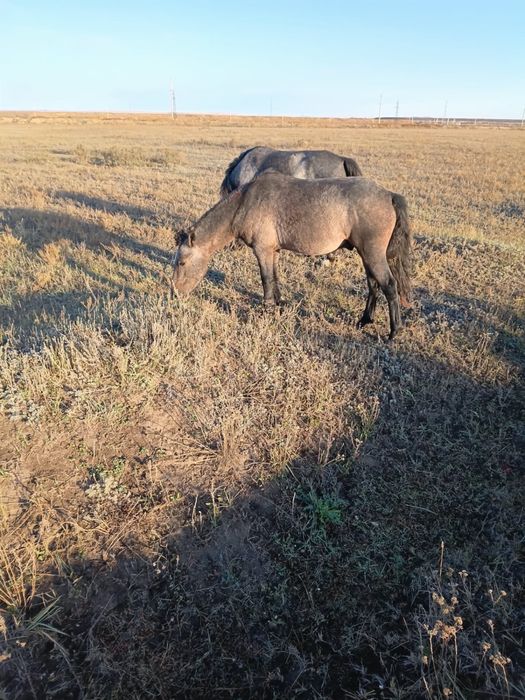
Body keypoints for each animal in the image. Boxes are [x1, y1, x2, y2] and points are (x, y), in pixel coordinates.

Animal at [172, 173, 412, 340]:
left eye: (182, 262)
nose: (174, 294)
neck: (245, 202)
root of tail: (388, 194)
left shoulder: (262, 250)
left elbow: (266, 280)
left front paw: (267, 311)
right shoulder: (273, 251)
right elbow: (274, 278)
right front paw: (279, 305)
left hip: (373, 255)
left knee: (389, 286)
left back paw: (394, 332)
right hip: (367, 255)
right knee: (373, 285)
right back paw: (364, 320)